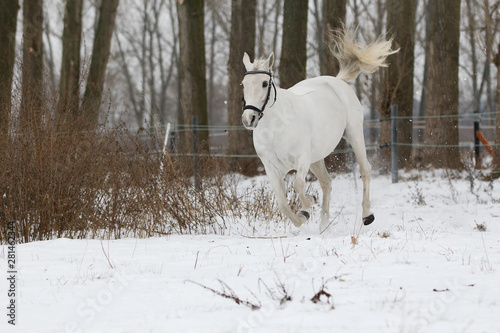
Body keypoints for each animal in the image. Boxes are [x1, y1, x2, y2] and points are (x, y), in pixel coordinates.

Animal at [240, 28, 396, 230]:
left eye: (264, 83)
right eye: (243, 85)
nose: (248, 118)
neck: (276, 127)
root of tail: (337, 81)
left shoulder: (302, 159)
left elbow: (298, 186)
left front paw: (307, 205)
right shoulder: (271, 168)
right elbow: (283, 204)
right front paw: (303, 215)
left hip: (354, 134)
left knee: (365, 170)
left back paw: (367, 215)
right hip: (317, 157)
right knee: (327, 182)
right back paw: (323, 226)